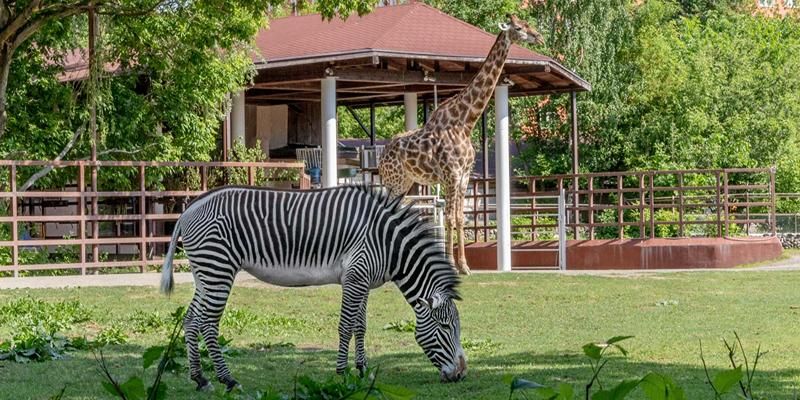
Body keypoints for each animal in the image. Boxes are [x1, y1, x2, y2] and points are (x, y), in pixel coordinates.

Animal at [160, 185, 467, 391]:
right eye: (445, 327)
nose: (461, 375)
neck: (389, 243)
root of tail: (189, 208)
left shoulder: (362, 280)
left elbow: (360, 326)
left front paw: (362, 369)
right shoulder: (356, 276)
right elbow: (345, 326)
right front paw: (342, 372)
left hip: (205, 272)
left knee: (191, 320)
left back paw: (200, 379)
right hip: (218, 269)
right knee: (208, 323)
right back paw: (228, 379)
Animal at [378, 15, 544, 275]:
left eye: (528, 24)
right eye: (519, 28)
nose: (539, 36)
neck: (465, 122)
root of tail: (380, 156)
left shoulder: (464, 176)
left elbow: (458, 217)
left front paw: (464, 266)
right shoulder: (451, 174)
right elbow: (448, 217)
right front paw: (451, 265)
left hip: (405, 182)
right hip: (394, 181)